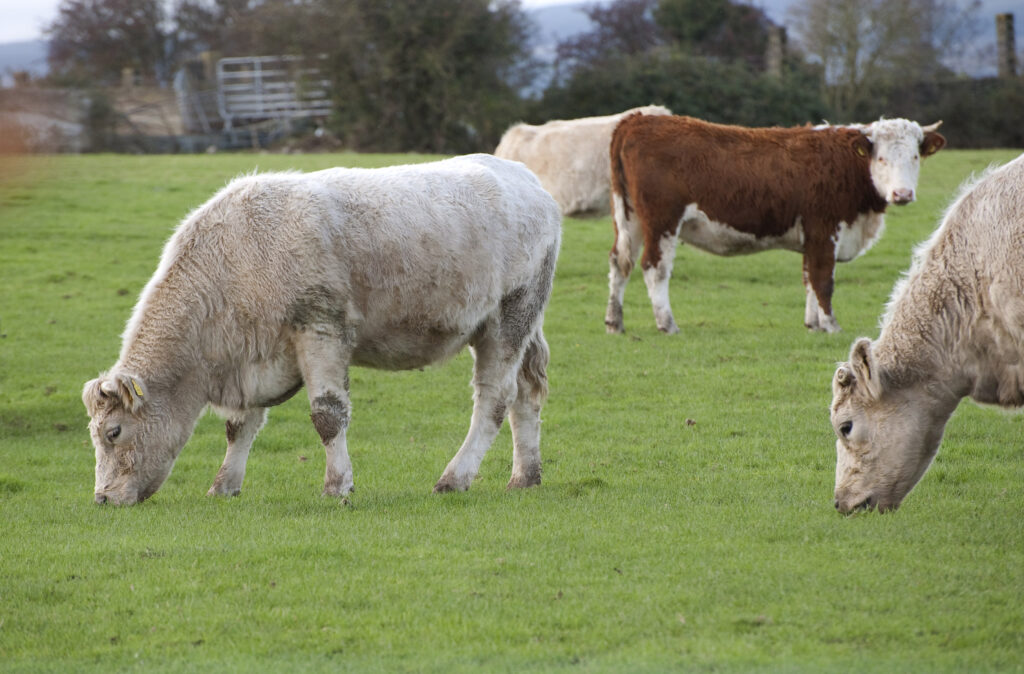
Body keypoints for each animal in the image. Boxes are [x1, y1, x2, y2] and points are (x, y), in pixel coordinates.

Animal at [82, 154, 562, 505]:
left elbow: (328, 415)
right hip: (522, 324)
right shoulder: (252, 356)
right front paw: (225, 485)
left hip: (509, 317)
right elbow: (240, 426)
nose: (102, 499)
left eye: (113, 432)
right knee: (526, 395)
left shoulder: (320, 328)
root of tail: (526, 178)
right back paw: (525, 475)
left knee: (494, 400)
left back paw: (456, 477)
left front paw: (337, 485)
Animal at [604, 115, 945, 335]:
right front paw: (831, 325)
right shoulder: (824, 229)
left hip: (630, 219)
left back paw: (615, 322)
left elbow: (809, 278)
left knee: (620, 263)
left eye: (915, 157)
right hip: (662, 221)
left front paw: (813, 324)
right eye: (881, 158)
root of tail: (636, 120)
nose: (902, 194)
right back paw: (667, 324)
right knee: (654, 268)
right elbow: (823, 279)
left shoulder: (812, 238)